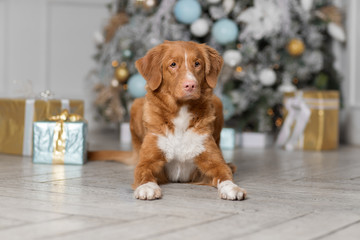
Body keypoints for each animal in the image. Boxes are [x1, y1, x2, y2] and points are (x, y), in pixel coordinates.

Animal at [89, 40, 246, 201]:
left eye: (197, 63)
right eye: (173, 64)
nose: (191, 85)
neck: (181, 111)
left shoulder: (213, 162)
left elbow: (224, 173)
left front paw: (232, 187)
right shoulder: (147, 161)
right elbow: (144, 173)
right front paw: (147, 188)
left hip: (218, 102)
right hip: (136, 105)